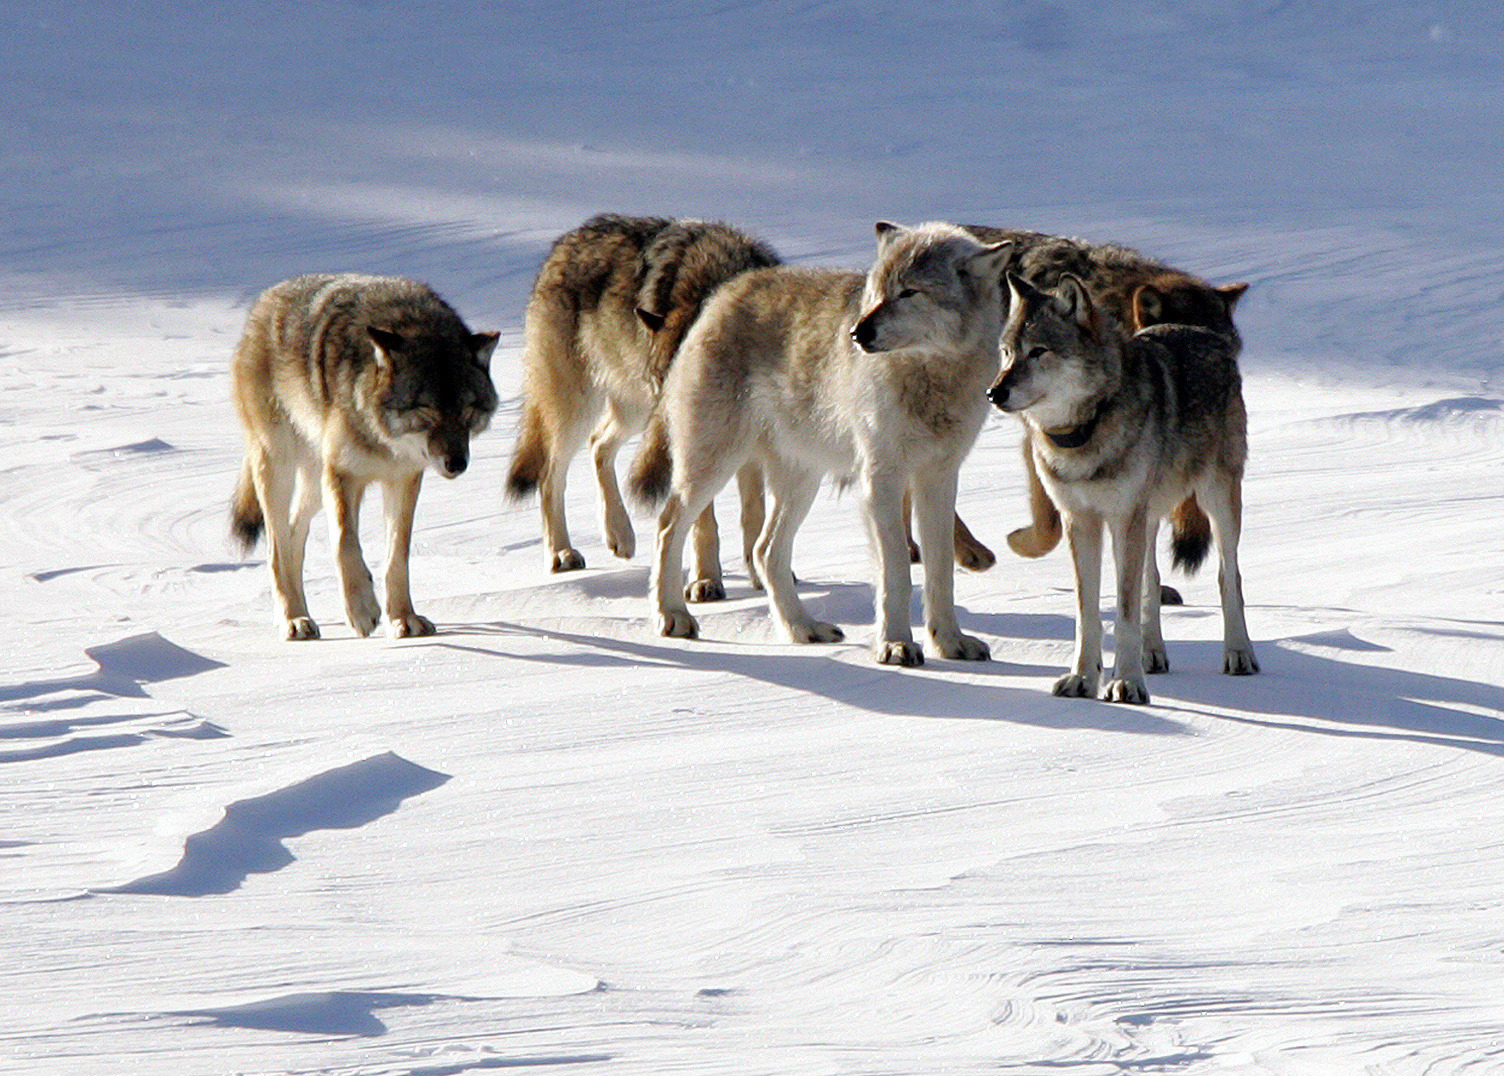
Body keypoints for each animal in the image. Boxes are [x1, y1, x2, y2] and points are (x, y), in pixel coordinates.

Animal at [230, 274, 498, 640]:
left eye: (467, 411)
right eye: (426, 410)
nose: (457, 464)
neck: (384, 439)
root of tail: (266, 300)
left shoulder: (403, 479)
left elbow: (397, 556)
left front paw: (403, 618)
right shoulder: (343, 475)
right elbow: (345, 544)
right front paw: (362, 610)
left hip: (314, 483)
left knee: (294, 534)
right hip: (279, 468)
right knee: (275, 549)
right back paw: (293, 619)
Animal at [506, 214, 780, 594]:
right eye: (664, 382)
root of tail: (563, 244)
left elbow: (753, 511)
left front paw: (761, 575)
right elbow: (703, 520)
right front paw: (706, 580)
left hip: (632, 411)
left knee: (599, 444)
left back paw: (619, 535)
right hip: (580, 408)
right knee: (550, 474)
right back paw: (562, 552)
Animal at [641, 221, 1012, 665]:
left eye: (909, 292)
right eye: (876, 291)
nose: (857, 333)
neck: (931, 375)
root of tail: (723, 293)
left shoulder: (939, 478)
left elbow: (941, 573)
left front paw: (950, 642)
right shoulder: (881, 481)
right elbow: (897, 574)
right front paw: (895, 645)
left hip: (802, 483)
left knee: (765, 551)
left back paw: (803, 628)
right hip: (713, 466)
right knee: (667, 527)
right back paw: (672, 616)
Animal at [987, 272, 1258, 703]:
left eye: (1039, 351)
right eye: (1007, 352)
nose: (994, 393)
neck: (1084, 432)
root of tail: (1200, 330)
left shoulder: (1123, 517)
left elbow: (1125, 611)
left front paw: (1126, 683)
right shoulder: (1080, 521)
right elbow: (1088, 613)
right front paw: (1083, 678)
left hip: (1216, 501)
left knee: (1227, 577)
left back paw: (1239, 654)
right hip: (1147, 519)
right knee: (1152, 580)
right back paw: (1153, 654)